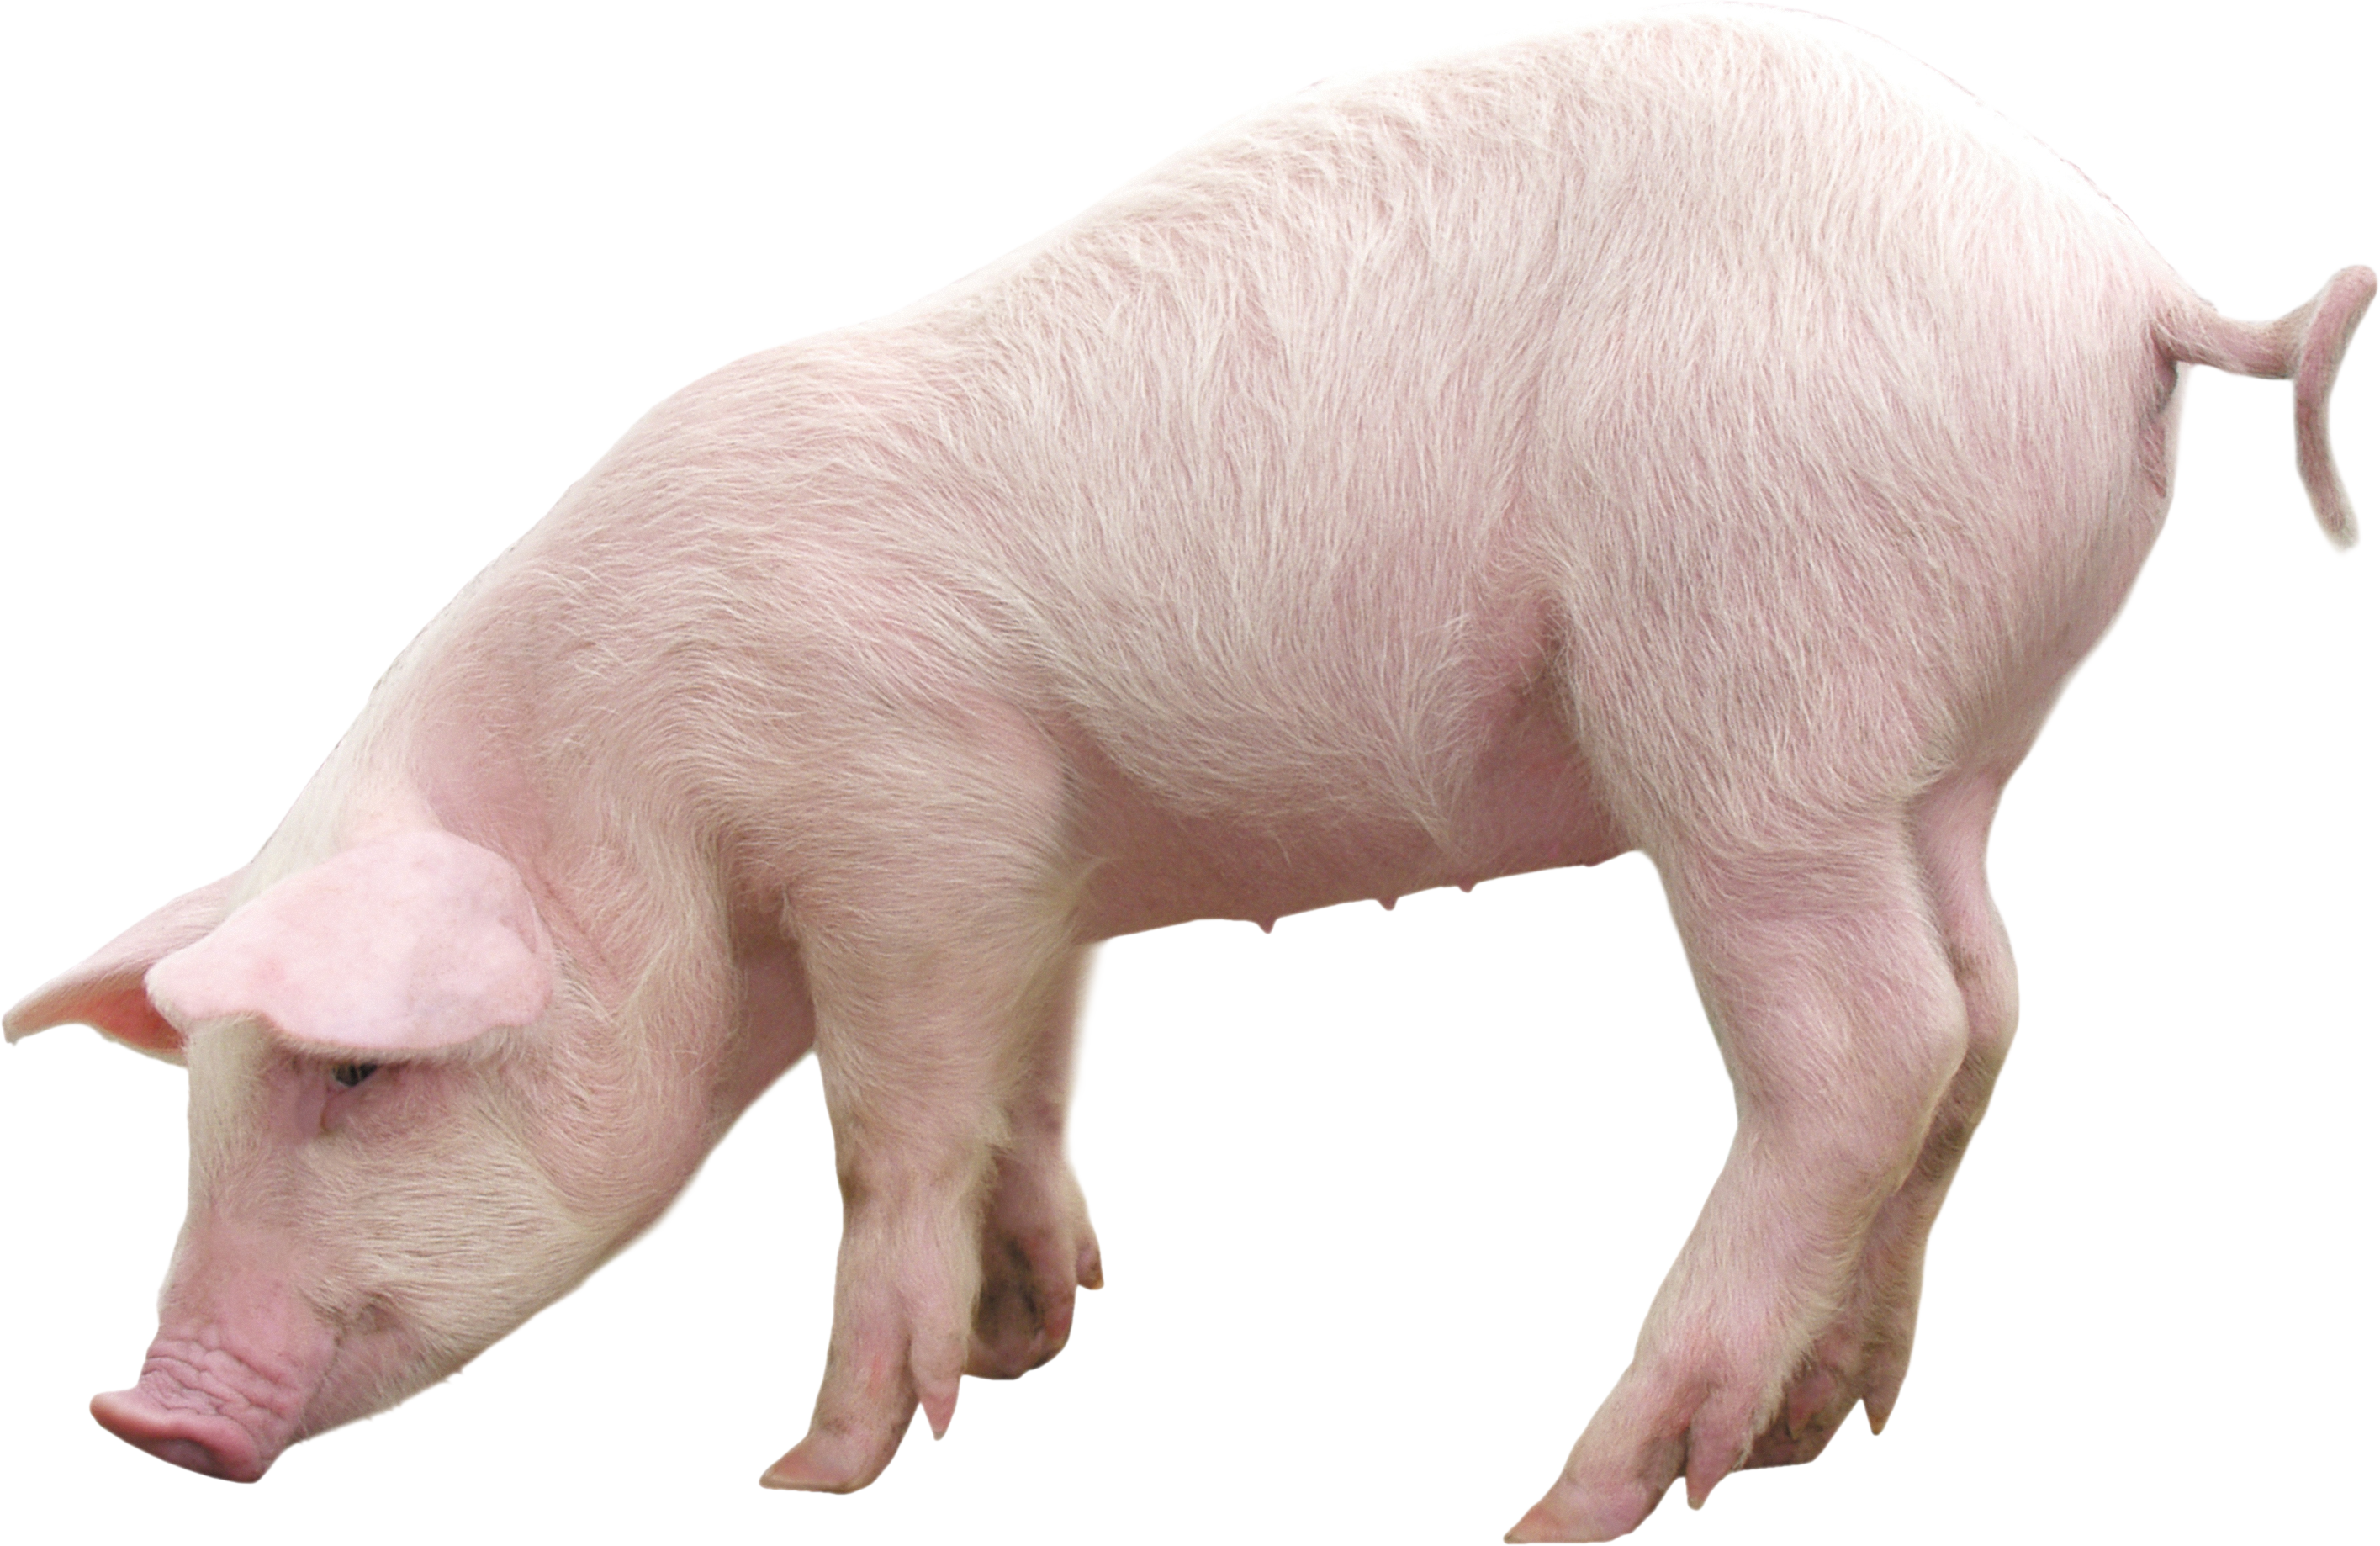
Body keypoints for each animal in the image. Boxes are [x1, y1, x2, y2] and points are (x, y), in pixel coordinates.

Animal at [3, 4, 2370, 1541]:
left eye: (356, 1072)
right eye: (205, 1092)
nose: (135, 1411)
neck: (646, 787)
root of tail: (2128, 274)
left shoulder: (912, 821)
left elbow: (887, 1128)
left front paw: (810, 1466)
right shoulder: (1038, 862)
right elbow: (1024, 1092)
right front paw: (1036, 1334)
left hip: (1750, 697)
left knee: (1862, 1042)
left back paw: (1577, 1490)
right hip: (1938, 747)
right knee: (1986, 1007)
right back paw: (1816, 1431)